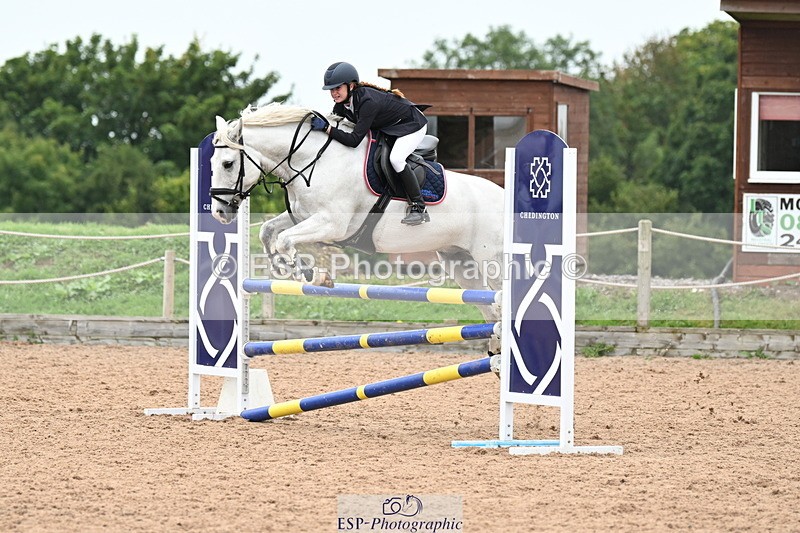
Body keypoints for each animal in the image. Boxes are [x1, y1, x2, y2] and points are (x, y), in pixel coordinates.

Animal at [208, 103, 505, 323]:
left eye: (228, 163)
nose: (220, 212)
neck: (313, 160)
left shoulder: (333, 223)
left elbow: (285, 239)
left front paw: (309, 274)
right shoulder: (303, 215)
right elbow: (268, 230)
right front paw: (281, 266)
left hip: (492, 260)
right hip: (459, 261)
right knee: (490, 309)